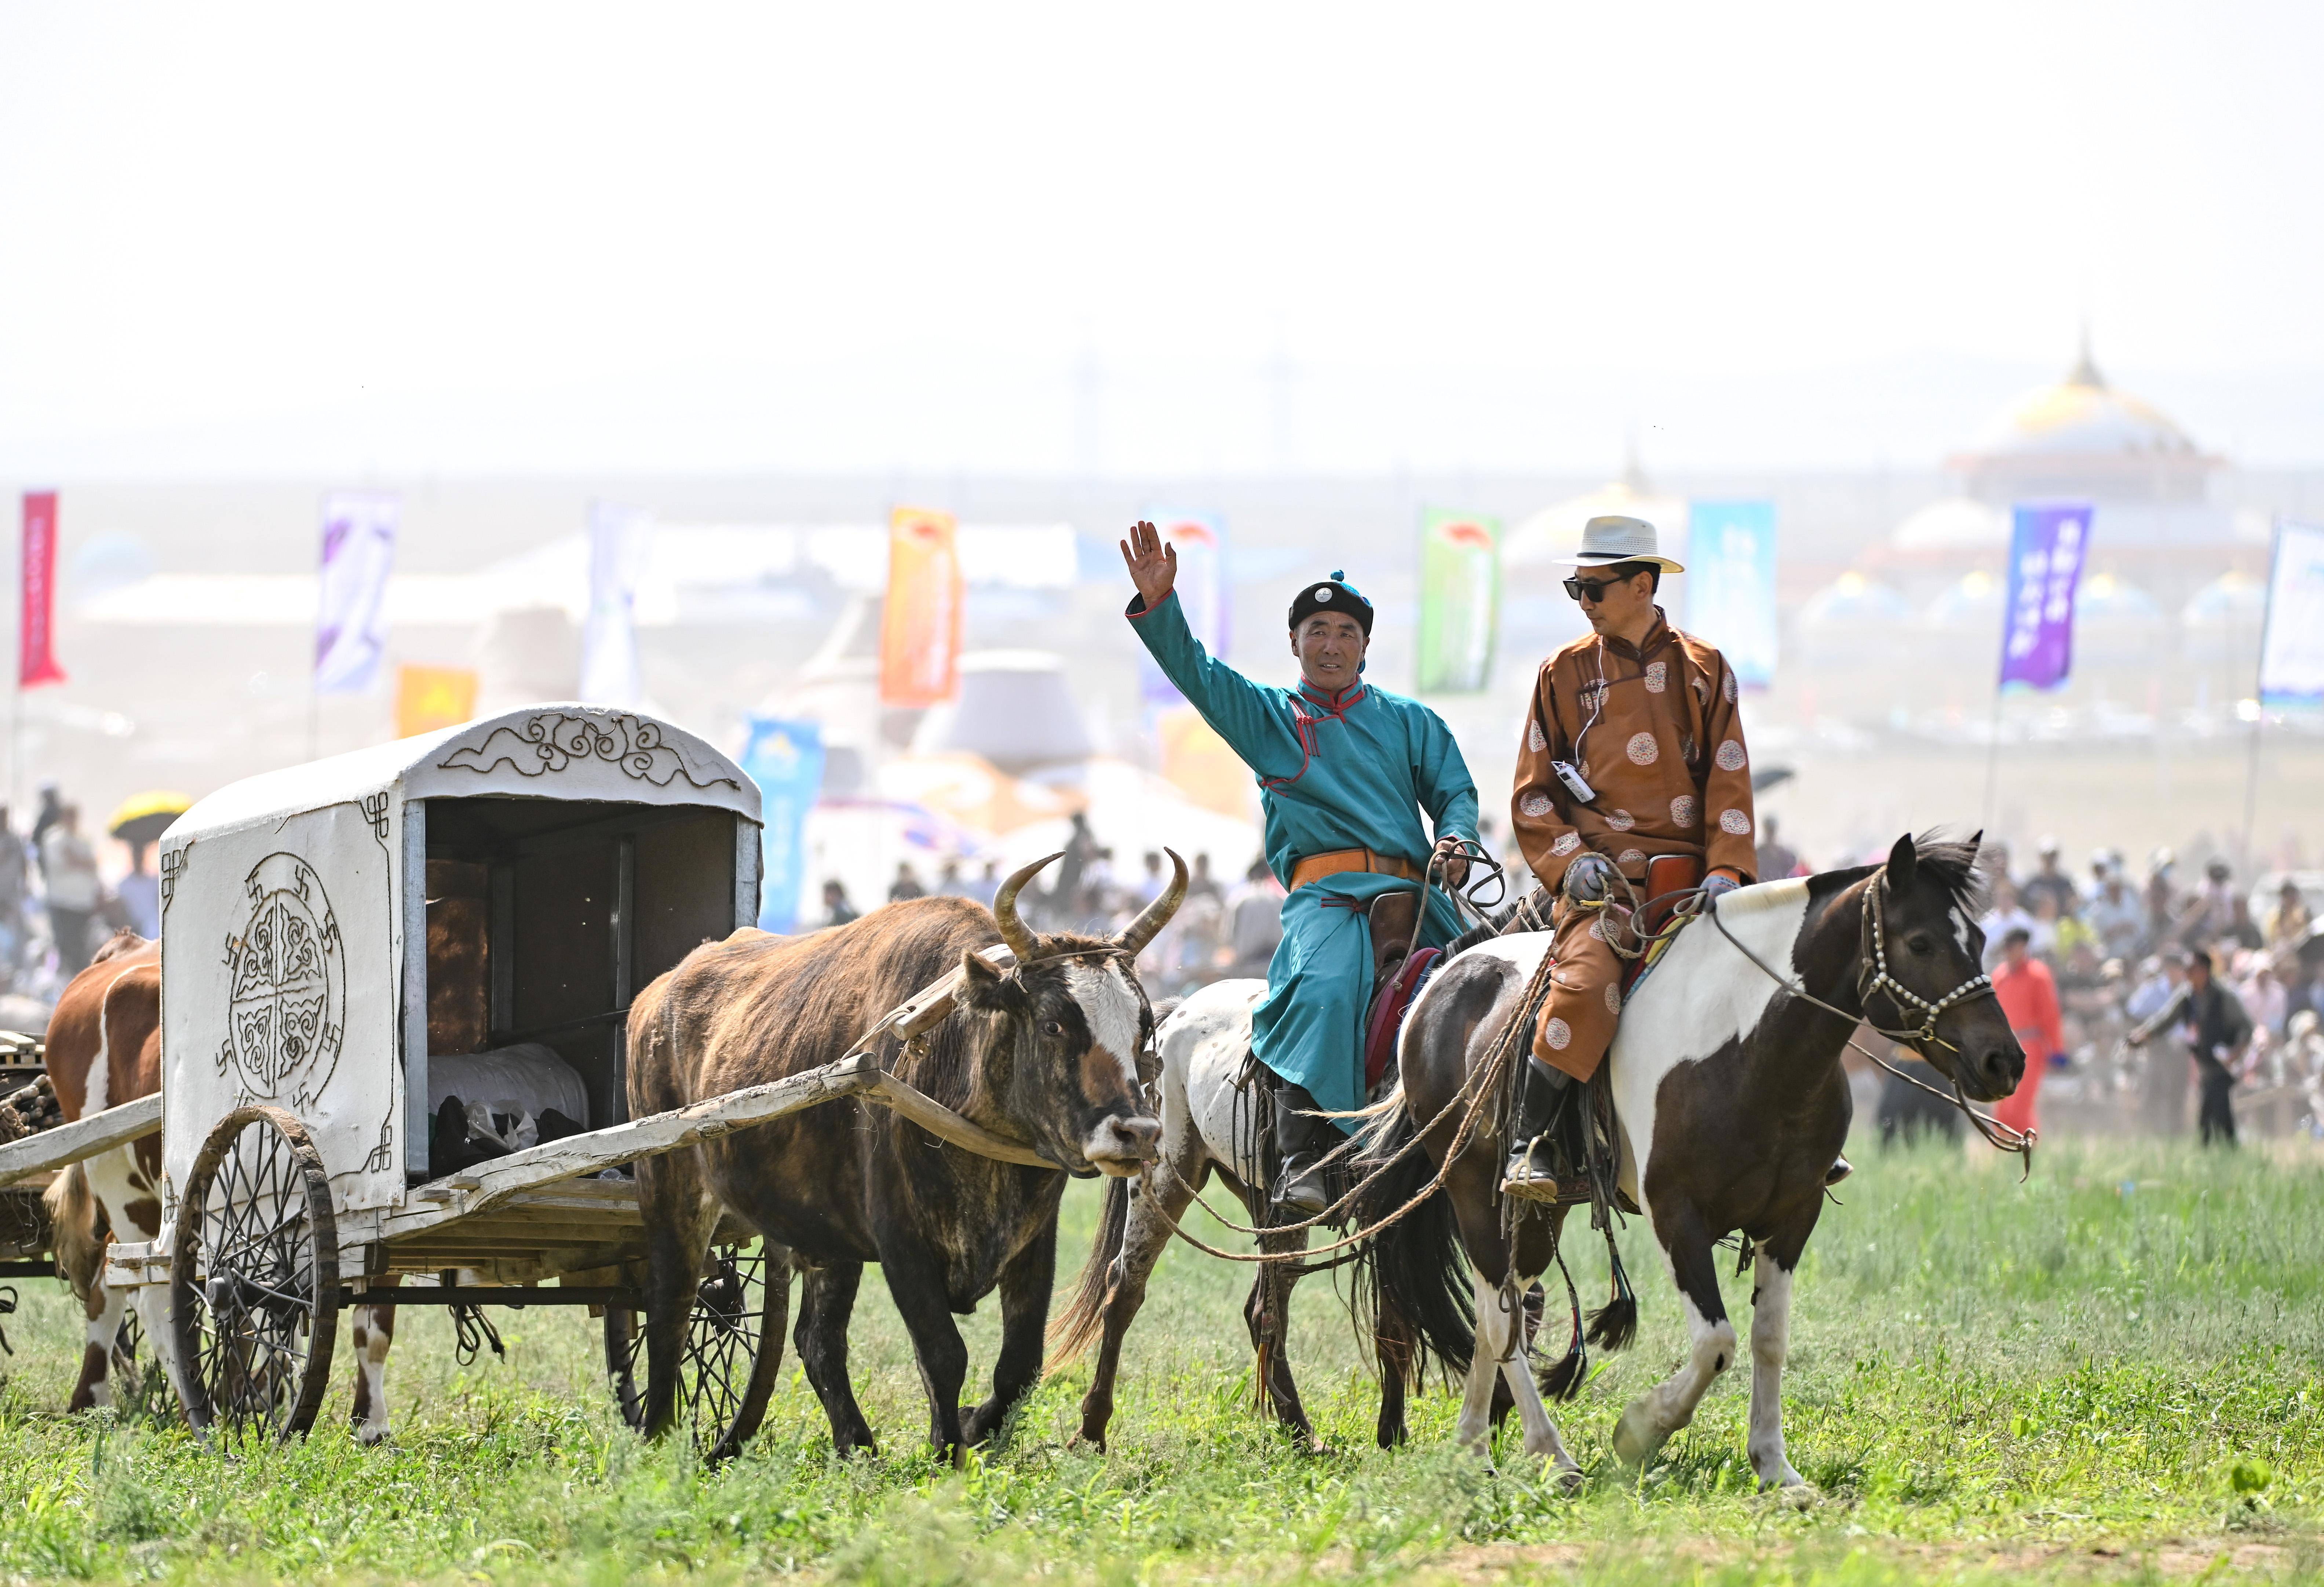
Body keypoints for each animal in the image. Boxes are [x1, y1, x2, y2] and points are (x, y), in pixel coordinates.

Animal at [1357, 832, 2026, 1487]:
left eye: (1980, 940)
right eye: (1920, 942)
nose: (2004, 1060)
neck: (1750, 1046)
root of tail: (1438, 982)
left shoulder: (1793, 1215)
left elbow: (1768, 1338)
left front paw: (1775, 1465)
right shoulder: (1676, 1216)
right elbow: (1716, 1342)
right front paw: (1639, 1430)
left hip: (1541, 1212)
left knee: (1505, 1306)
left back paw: (1474, 1444)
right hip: (1472, 1188)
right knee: (1499, 1314)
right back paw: (1549, 1451)